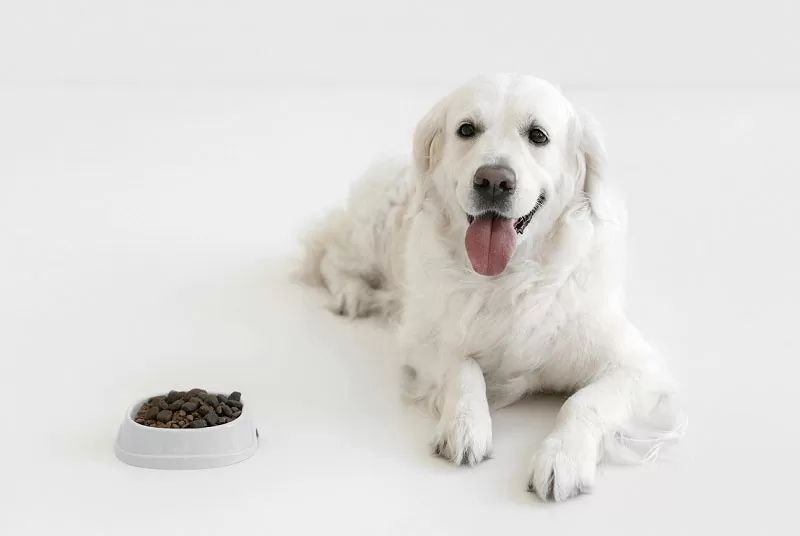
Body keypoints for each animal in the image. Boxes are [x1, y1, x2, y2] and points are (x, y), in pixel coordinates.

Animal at [296, 73, 684, 500]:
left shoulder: (638, 365)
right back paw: (353, 294)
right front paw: (466, 426)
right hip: (372, 230)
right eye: (467, 129)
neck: (507, 277)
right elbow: (463, 368)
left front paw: (563, 457)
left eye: (538, 135)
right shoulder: (422, 339)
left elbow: (585, 401)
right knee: (330, 251)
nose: (494, 180)